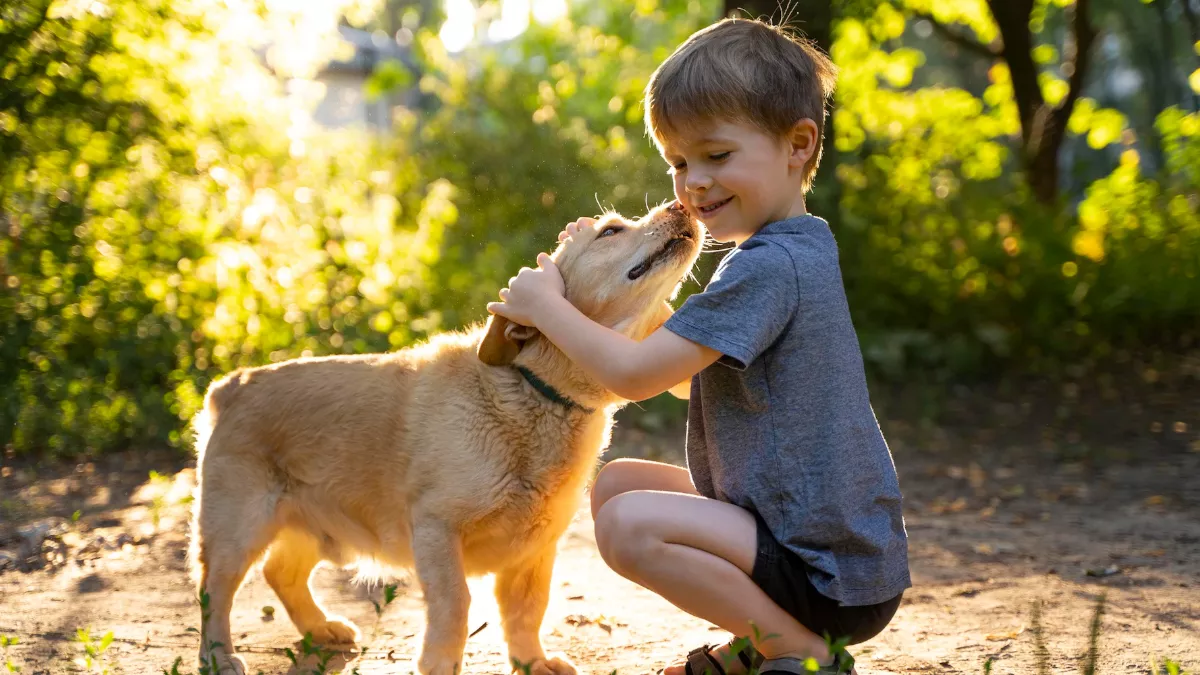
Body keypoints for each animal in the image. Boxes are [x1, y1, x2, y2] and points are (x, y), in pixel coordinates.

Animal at [182, 200, 700, 672]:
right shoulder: (436, 529)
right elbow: (455, 605)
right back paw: (219, 656)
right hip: (236, 531)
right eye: (611, 230)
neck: (535, 394)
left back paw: (321, 628)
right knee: (212, 595)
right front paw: (439, 662)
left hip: (314, 526)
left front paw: (532, 661)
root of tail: (232, 385)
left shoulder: (535, 550)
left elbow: (527, 612)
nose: (682, 204)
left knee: (281, 573)